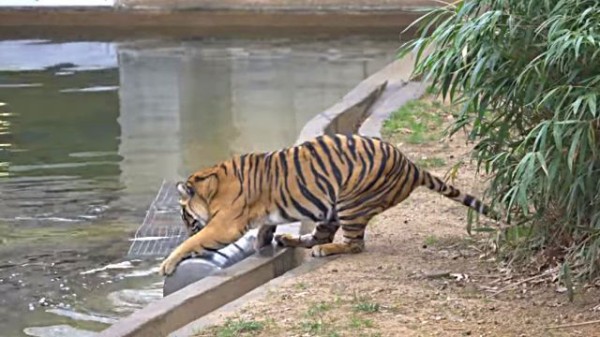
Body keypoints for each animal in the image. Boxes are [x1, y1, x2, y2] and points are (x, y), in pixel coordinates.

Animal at [158, 133, 496, 274]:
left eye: (184, 215)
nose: (186, 227)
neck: (211, 185)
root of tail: (411, 165)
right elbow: (265, 226)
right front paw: (262, 243)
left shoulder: (224, 225)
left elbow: (195, 243)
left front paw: (167, 264)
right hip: (330, 209)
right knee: (316, 236)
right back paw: (290, 239)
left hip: (350, 203)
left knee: (353, 244)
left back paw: (326, 249)